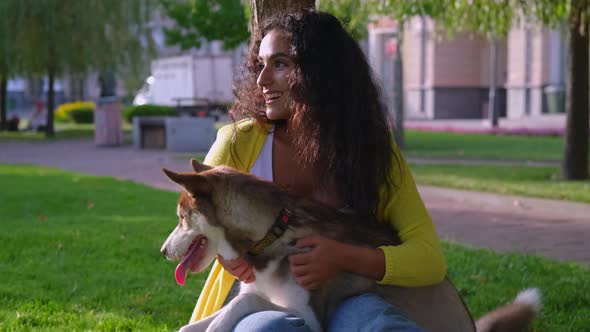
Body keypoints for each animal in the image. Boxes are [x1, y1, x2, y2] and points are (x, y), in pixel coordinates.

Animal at [161, 160, 540, 330]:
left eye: (180, 217)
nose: (163, 252)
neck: (275, 231)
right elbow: (206, 317)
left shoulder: (309, 316)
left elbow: (244, 303)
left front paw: (218, 325)